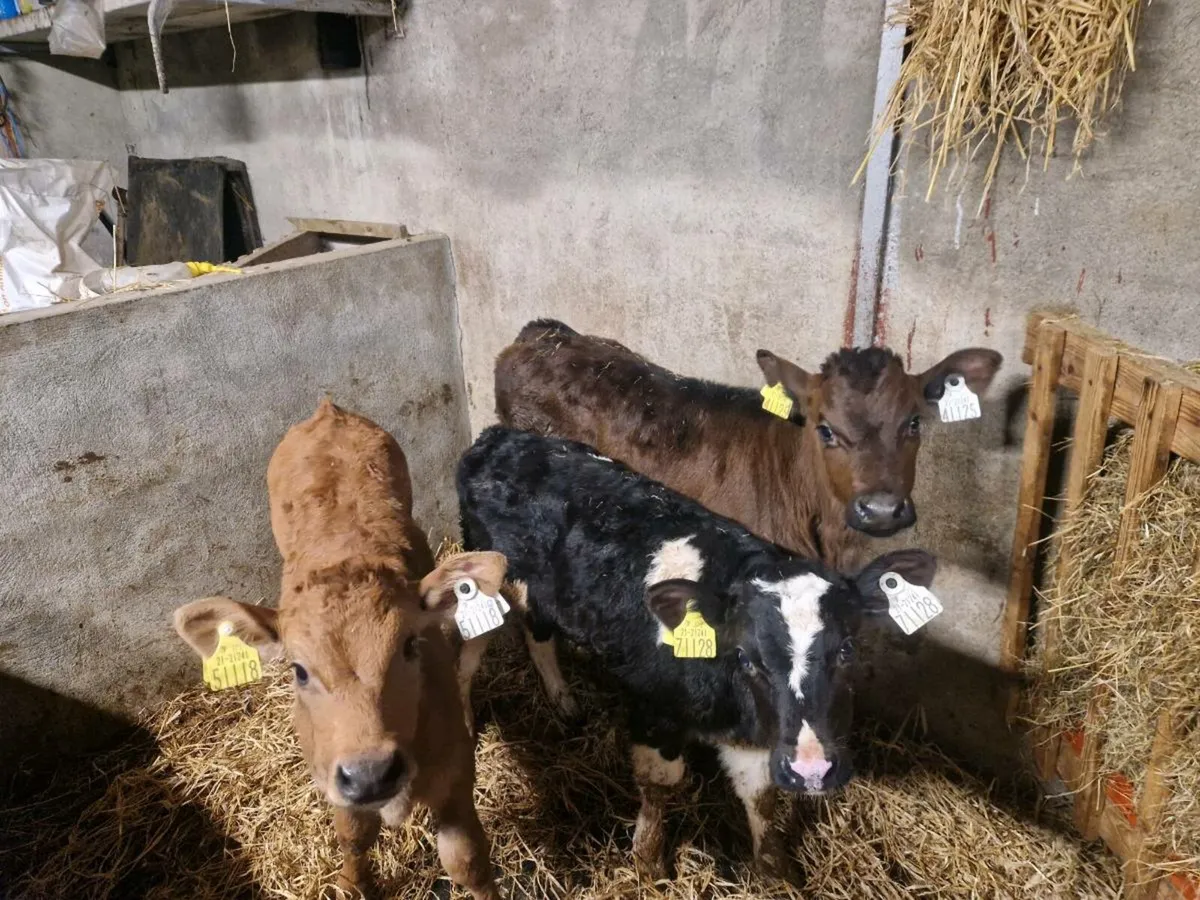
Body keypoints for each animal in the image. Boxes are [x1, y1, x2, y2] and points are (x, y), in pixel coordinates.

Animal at [173, 399, 507, 899]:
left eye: (410, 645)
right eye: (298, 670)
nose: (371, 774)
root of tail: (328, 411)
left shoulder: (456, 774)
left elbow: (466, 860)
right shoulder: (332, 774)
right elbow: (353, 836)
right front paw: (352, 884)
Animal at [456, 426, 938, 879]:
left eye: (847, 650)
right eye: (747, 657)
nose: (812, 769)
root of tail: (500, 437)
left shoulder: (753, 735)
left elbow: (760, 795)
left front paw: (775, 870)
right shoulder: (655, 713)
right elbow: (661, 785)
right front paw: (649, 862)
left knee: (537, 631)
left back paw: (563, 700)